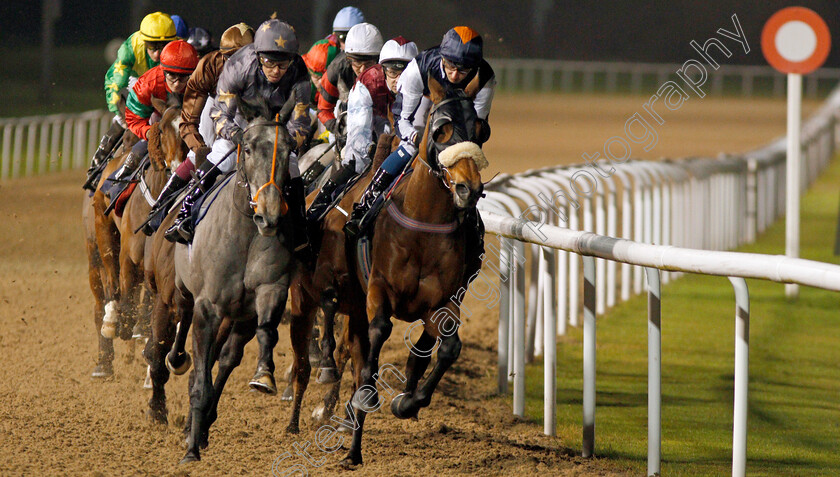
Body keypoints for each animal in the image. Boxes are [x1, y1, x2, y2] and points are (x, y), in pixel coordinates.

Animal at [172, 108, 314, 462]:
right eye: (247, 148)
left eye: (290, 149)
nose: (269, 215)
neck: (245, 233)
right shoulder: (207, 306)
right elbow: (201, 369)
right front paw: (191, 450)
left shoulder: (268, 290)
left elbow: (267, 331)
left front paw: (264, 374)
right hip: (182, 286)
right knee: (182, 315)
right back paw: (177, 359)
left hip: (238, 316)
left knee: (226, 357)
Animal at [290, 75, 486, 464]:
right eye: (442, 129)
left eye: (479, 129)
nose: (467, 188)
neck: (423, 223)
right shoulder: (378, 290)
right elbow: (375, 341)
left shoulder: (438, 303)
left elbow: (448, 348)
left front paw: (407, 402)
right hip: (310, 293)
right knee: (316, 343)